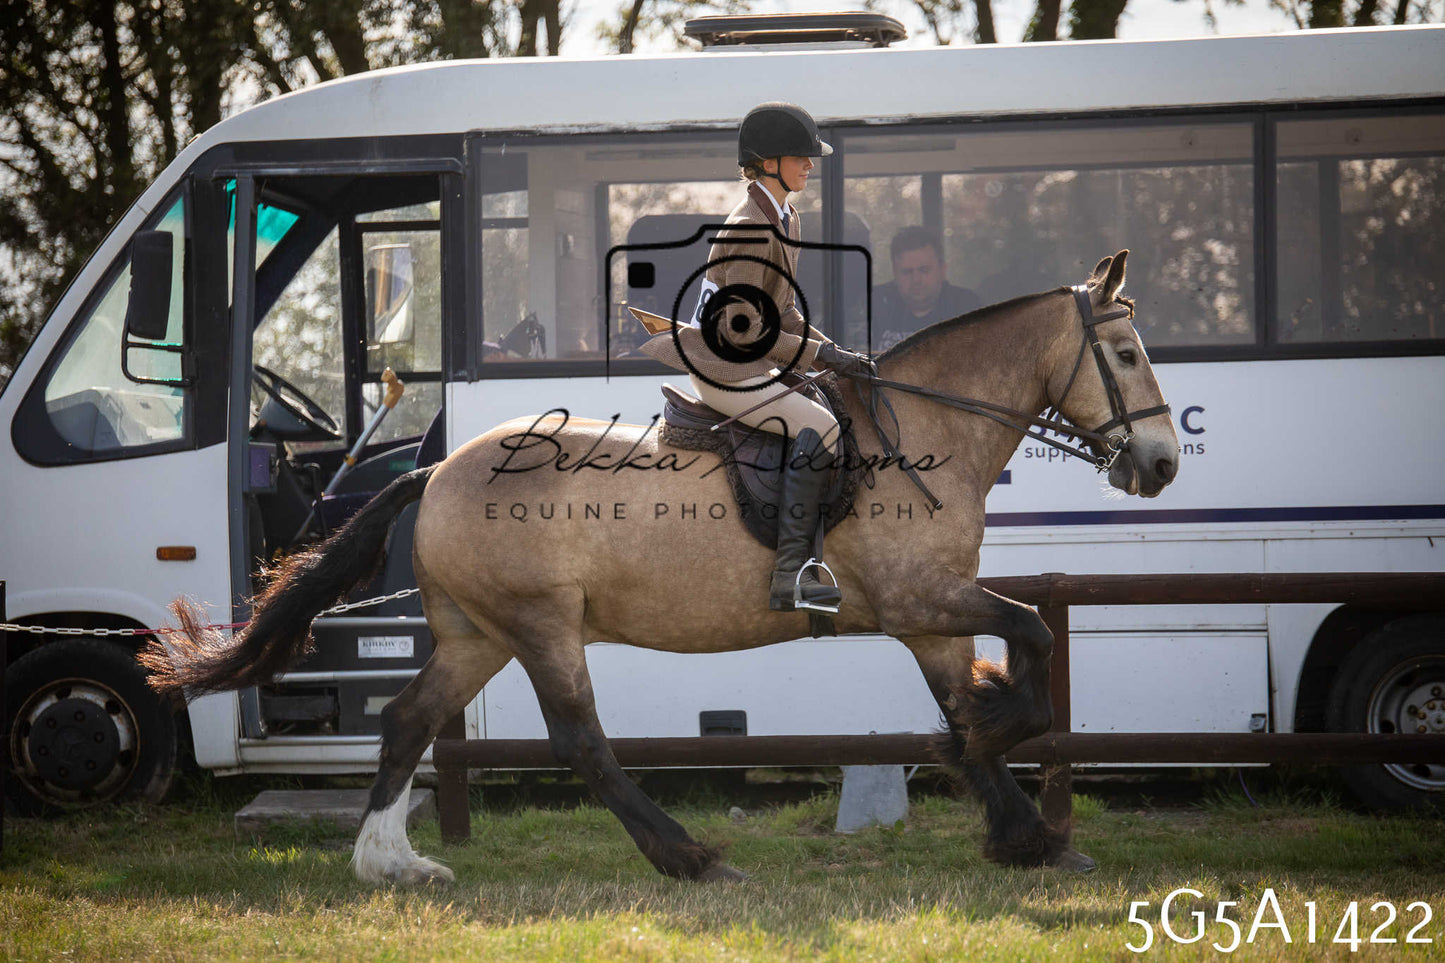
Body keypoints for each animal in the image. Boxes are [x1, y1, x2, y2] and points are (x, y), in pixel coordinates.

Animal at [145, 250, 1179, 885]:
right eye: (1125, 353)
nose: (1162, 464)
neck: (923, 430)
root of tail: (436, 469)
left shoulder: (929, 617)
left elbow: (967, 705)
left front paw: (1025, 834)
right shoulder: (918, 598)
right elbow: (1031, 636)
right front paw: (1017, 768)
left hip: (477, 633)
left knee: (406, 722)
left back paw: (390, 864)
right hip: (541, 624)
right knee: (580, 741)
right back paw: (690, 857)